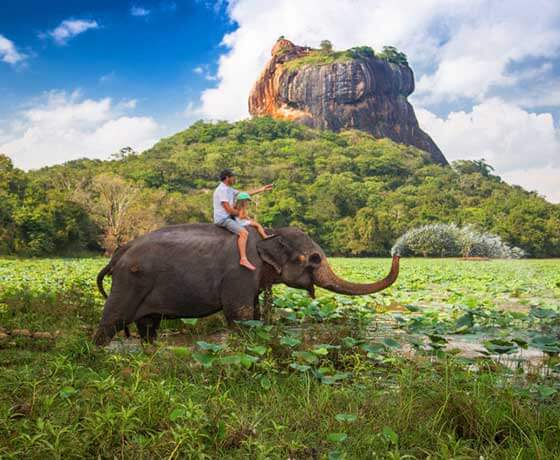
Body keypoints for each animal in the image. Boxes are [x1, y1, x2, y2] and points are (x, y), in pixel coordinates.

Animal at [93, 223, 398, 344]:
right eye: (312, 259)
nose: (396, 252)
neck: (269, 234)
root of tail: (118, 254)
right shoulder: (239, 274)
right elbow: (239, 315)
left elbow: (254, 314)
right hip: (128, 283)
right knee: (111, 322)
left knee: (148, 327)